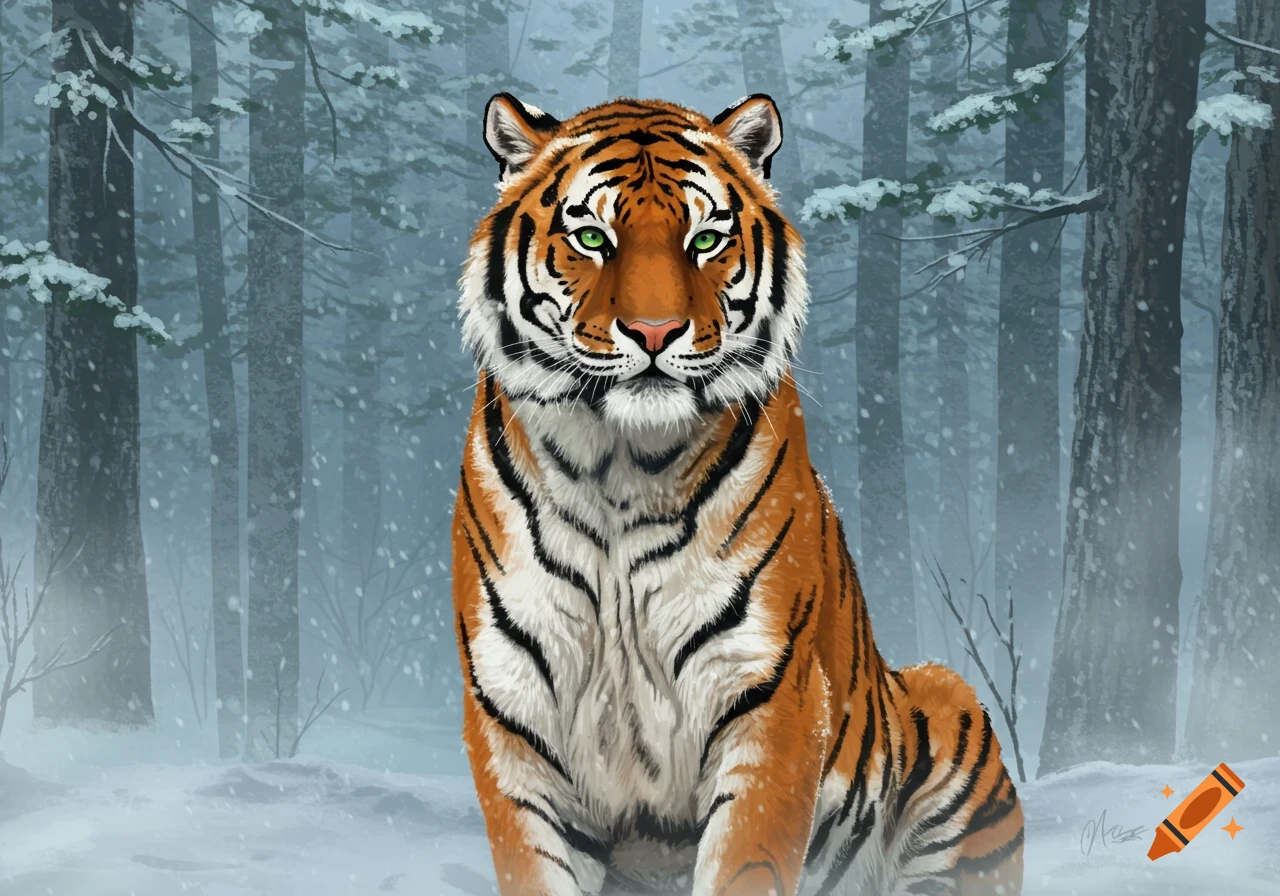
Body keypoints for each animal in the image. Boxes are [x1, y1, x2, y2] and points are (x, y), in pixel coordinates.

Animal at [451, 92, 1024, 896]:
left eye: (706, 238)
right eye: (592, 237)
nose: (655, 331)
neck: (620, 470)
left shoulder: (769, 700)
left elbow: (745, 862)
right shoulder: (515, 719)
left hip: (949, 712)